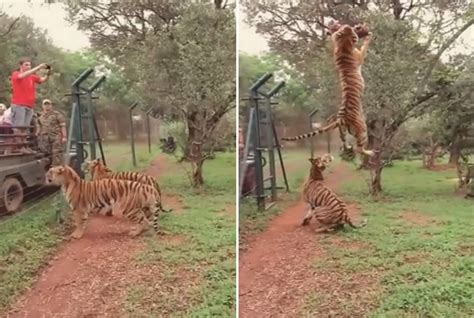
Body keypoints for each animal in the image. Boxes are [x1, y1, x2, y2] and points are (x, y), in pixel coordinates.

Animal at [282, 21, 378, 161]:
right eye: (348, 30)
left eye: (342, 29)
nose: (348, 27)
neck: (343, 46)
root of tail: (341, 119)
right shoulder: (360, 56)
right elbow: (365, 46)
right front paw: (368, 36)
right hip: (362, 129)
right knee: (359, 148)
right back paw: (371, 152)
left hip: (344, 130)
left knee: (345, 142)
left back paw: (348, 148)